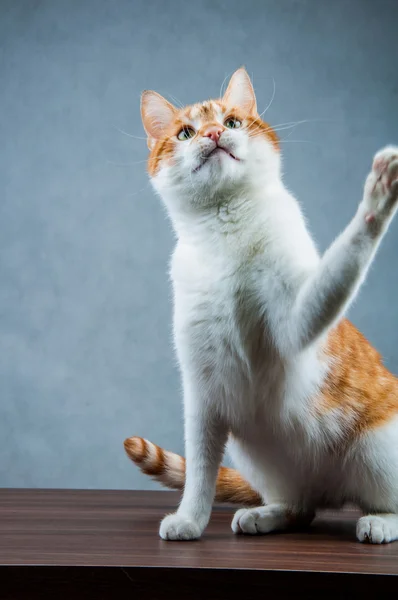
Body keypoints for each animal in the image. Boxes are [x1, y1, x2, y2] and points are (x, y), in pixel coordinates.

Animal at [123, 67, 398, 544]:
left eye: (231, 121)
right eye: (185, 132)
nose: (214, 133)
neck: (225, 231)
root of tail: (334, 491)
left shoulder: (297, 322)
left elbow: (344, 258)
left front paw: (377, 200)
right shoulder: (202, 390)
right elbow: (200, 470)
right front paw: (190, 520)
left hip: (376, 449)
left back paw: (379, 521)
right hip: (256, 455)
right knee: (302, 508)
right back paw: (267, 514)